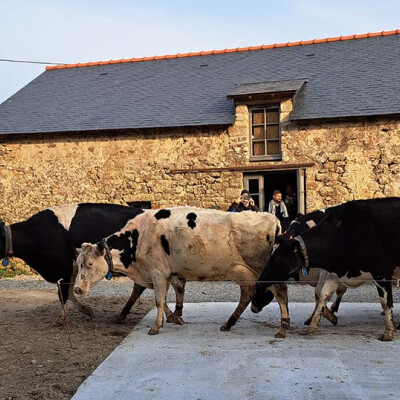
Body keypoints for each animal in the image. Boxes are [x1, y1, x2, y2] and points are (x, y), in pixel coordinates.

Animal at [0, 203, 183, 322]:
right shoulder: (72, 268)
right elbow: (71, 291)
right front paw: (86, 310)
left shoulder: (64, 268)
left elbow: (63, 294)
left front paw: (61, 318)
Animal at [252, 197, 400, 340]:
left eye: (276, 258)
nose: (253, 307)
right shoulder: (334, 272)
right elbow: (323, 294)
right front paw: (317, 322)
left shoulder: (381, 270)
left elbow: (386, 302)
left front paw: (388, 331)